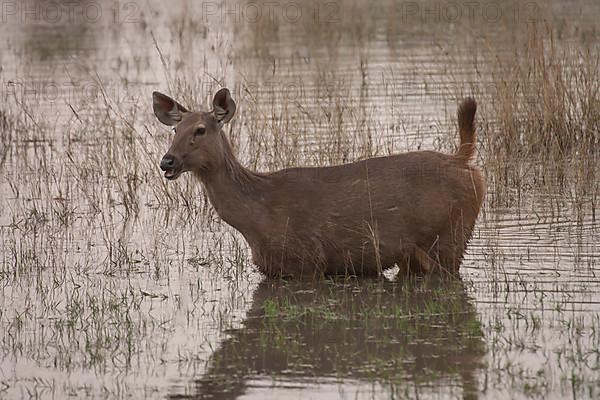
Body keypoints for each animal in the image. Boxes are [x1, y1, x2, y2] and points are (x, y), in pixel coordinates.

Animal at [152, 89, 486, 280]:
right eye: (175, 129)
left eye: (200, 130)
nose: (167, 161)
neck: (256, 215)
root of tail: (464, 162)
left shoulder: (307, 260)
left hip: (449, 237)